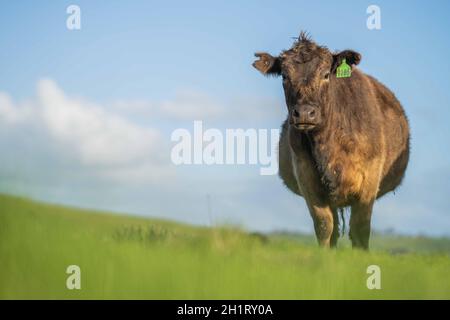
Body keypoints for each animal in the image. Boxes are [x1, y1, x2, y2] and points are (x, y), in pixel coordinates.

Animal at [251, 31, 410, 250]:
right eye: (284, 76)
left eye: (326, 74)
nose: (305, 113)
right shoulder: (307, 179)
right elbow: (324, 225)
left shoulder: (369, 182)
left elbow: (360, 229)